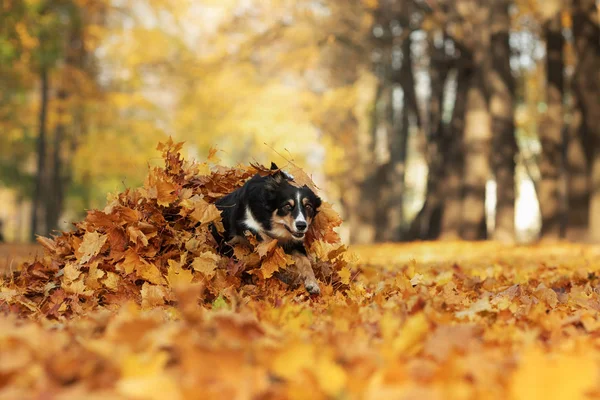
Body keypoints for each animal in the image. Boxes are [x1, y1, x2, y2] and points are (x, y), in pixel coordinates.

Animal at [213, 162, 322, 294]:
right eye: (287, 206)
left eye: (308, 206)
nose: (301, 225)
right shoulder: (244, 223)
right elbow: (267, 241)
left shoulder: (295, 241)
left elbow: (305, 261)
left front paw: (312, 283)